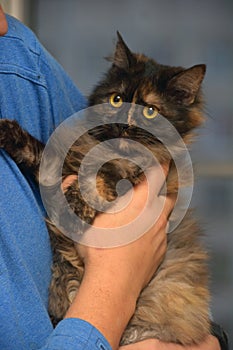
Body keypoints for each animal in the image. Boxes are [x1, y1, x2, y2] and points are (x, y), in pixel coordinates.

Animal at [0, 33, 211, 348]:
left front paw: (77, 206)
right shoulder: (62, 166)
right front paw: (7, 132)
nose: (124, 123)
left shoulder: (135, 177)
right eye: (116, 99)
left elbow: (101, 175)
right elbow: (41, 153)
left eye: (150, 111)